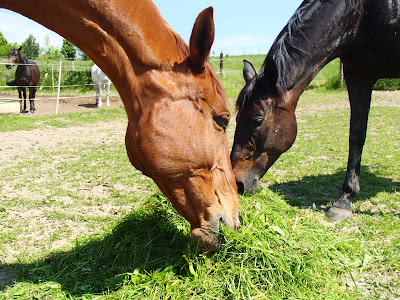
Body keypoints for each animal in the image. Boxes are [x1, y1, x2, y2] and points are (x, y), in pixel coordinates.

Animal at [230, 0, 400, 220]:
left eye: (258, 120)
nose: (237, 183)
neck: (361, 14)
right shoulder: (358, 74)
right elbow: (356, 134)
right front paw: (345, 200)